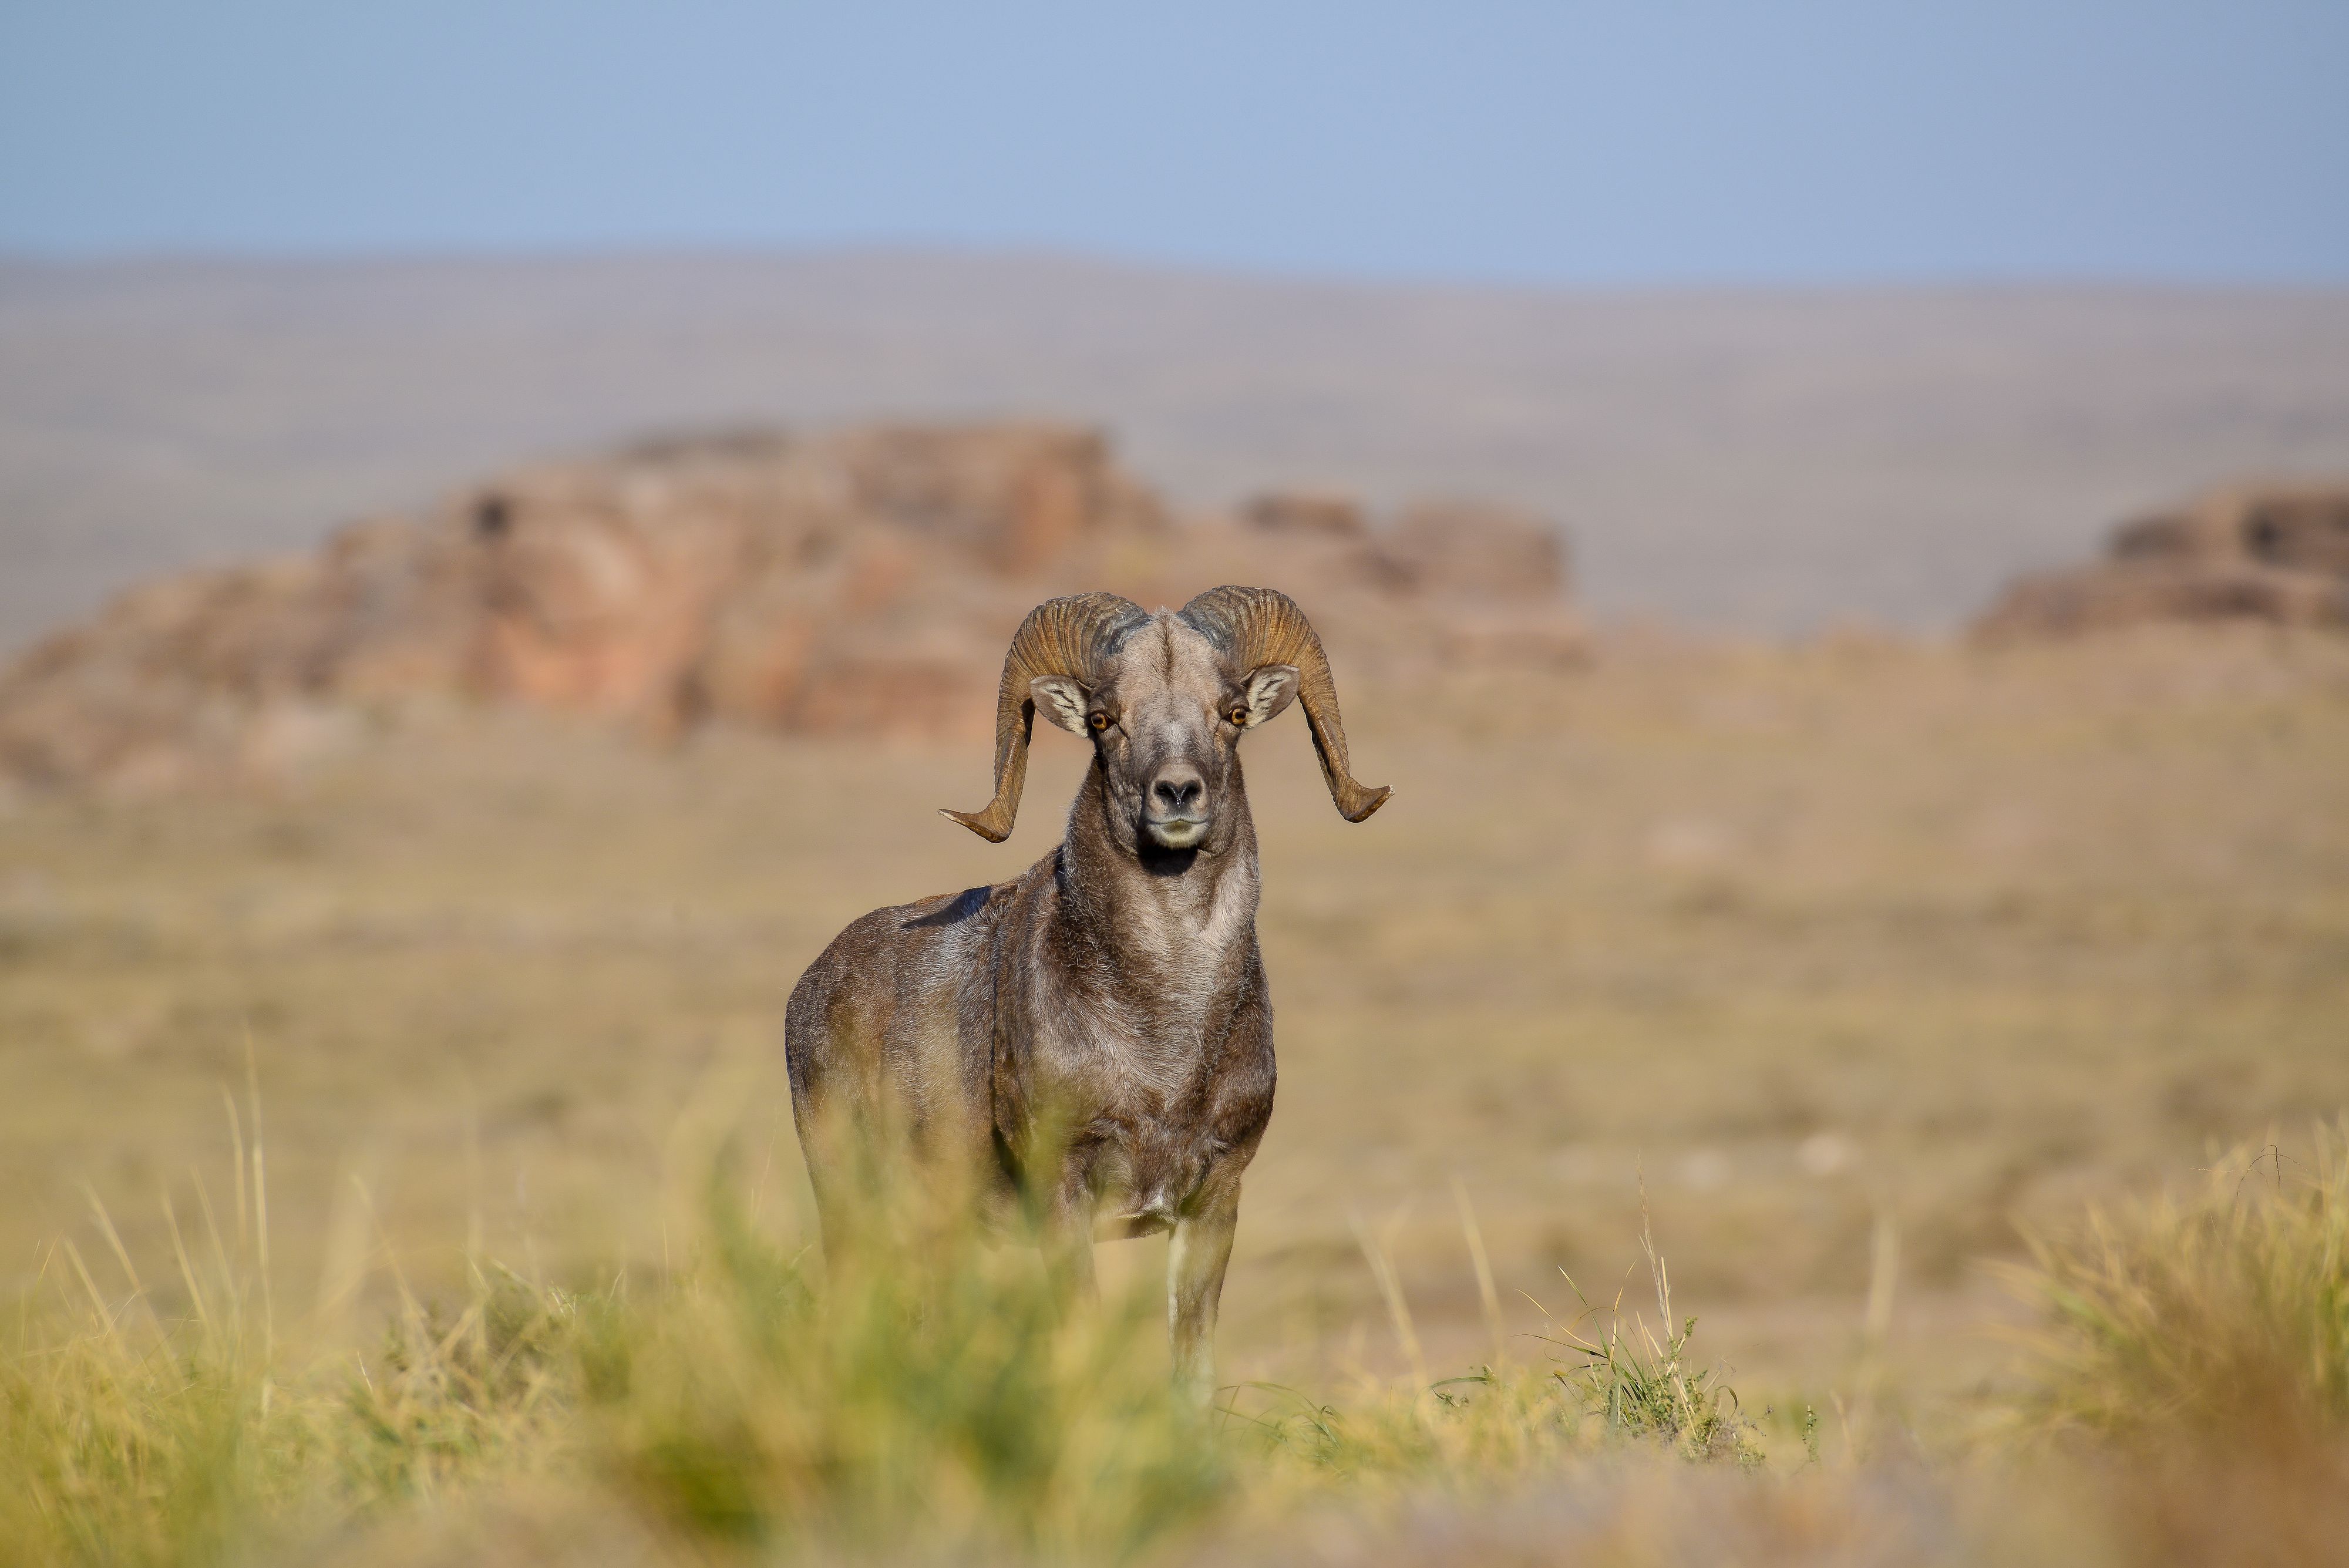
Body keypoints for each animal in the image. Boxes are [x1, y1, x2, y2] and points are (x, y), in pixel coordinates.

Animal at [780, 582, 1381, 1389]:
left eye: (1230, 714)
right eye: (1103, 720)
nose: (1177, 793)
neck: (1167, 1048)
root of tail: (809, 989)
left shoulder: (1212, 1203)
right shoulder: (1064, 1194)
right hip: (852, 1203)